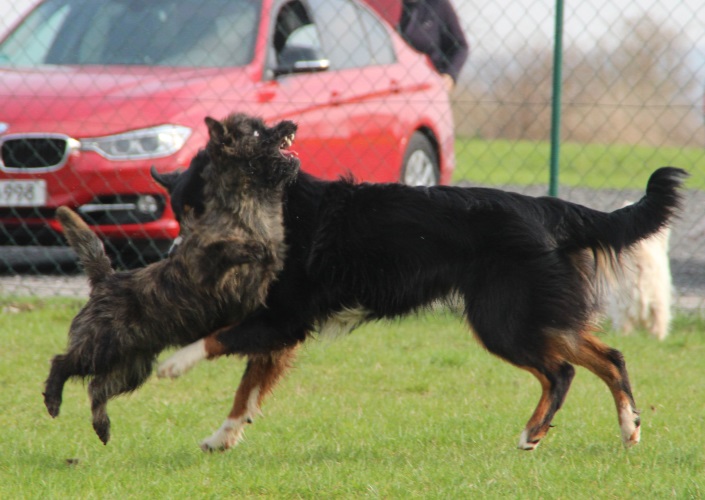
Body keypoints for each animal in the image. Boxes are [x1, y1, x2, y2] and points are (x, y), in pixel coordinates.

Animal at [43, 114, 296, 446]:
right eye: (254, 131)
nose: (290, 124)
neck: (250, 208)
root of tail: (104, 279)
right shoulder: (202, 266)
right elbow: (228, 249)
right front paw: (252, 248)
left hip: (133, 367)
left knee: (96, 388)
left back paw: (102, 425)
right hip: (98, 347)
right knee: (62, 362)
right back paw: (53, 399)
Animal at [153, 161, 680, 454]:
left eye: (197, 212)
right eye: (180, 213)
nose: (174, 257)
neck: (276, 211)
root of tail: (547, 208)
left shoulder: (283, 319)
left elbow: (217, 340)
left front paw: (174, 364)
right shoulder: (280, 329)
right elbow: (246, 391)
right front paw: (223, 437)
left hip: (503, 321)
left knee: (561, 372)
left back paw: (534, 432)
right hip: (535, 315)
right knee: (608, 358)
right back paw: (629, 429)